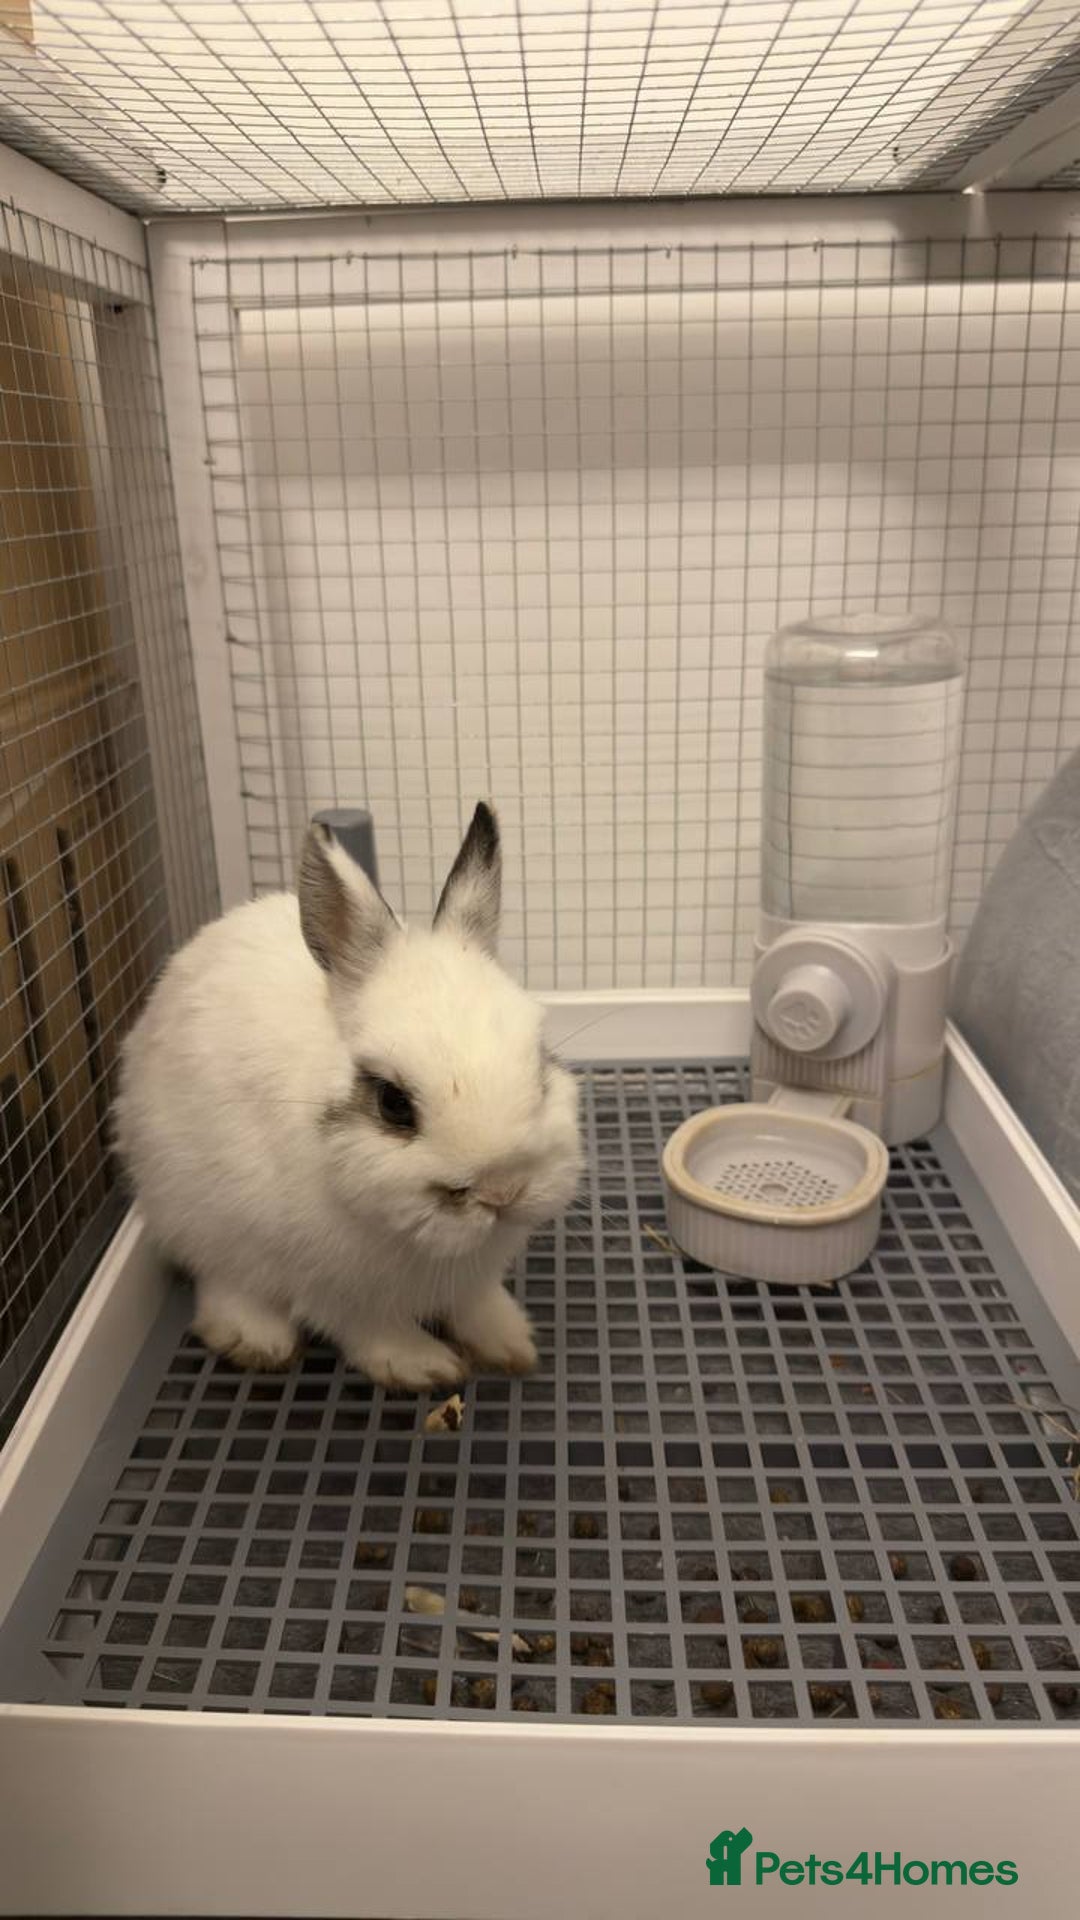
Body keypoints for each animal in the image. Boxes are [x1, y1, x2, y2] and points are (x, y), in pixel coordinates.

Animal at [114, 802, 582, 1390]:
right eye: (393, 1103)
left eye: (540, 1063)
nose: (502, 1191)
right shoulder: (334, 1284)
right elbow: (370, 1327)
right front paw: (423, 1367)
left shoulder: (471, 1278)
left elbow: (476, 1304)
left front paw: (510, 1344)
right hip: (196, 1212)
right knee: (223, 1276)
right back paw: (256, 1341)